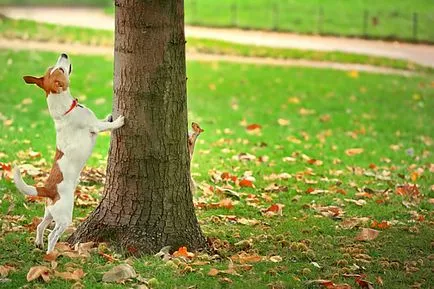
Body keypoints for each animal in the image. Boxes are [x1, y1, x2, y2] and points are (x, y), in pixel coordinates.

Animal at [13, 53, 124, 252]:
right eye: (60, 69)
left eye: (55, 67)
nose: (63, 54)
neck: (64, 110)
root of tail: (47, 189)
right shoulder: (94, 127)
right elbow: (105, 125)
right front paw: (118, 121)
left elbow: (103, 120)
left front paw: (109, 116)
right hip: (64, 217)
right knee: (53, 235)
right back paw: (51, 253)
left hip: (50, 212)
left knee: (41, 226)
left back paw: (39, 243)